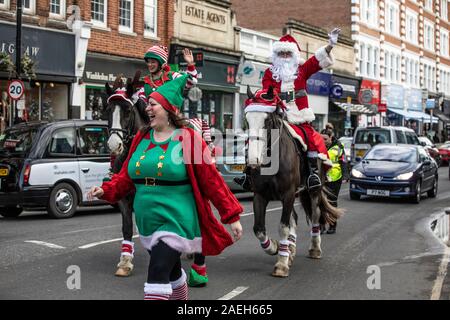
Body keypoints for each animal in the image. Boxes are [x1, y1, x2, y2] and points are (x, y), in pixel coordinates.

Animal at [244, 87, 342, 278]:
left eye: (267, 121)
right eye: (247, 120)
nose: (253, 160)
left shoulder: (288, 194)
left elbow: (283, 226)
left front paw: (281, 264)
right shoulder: (260, 195)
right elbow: (259, 229)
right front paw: (276, 248)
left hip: (312, 191)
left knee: (315, 215)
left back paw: (314, 249)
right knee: (294, 218)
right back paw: (290, 249)